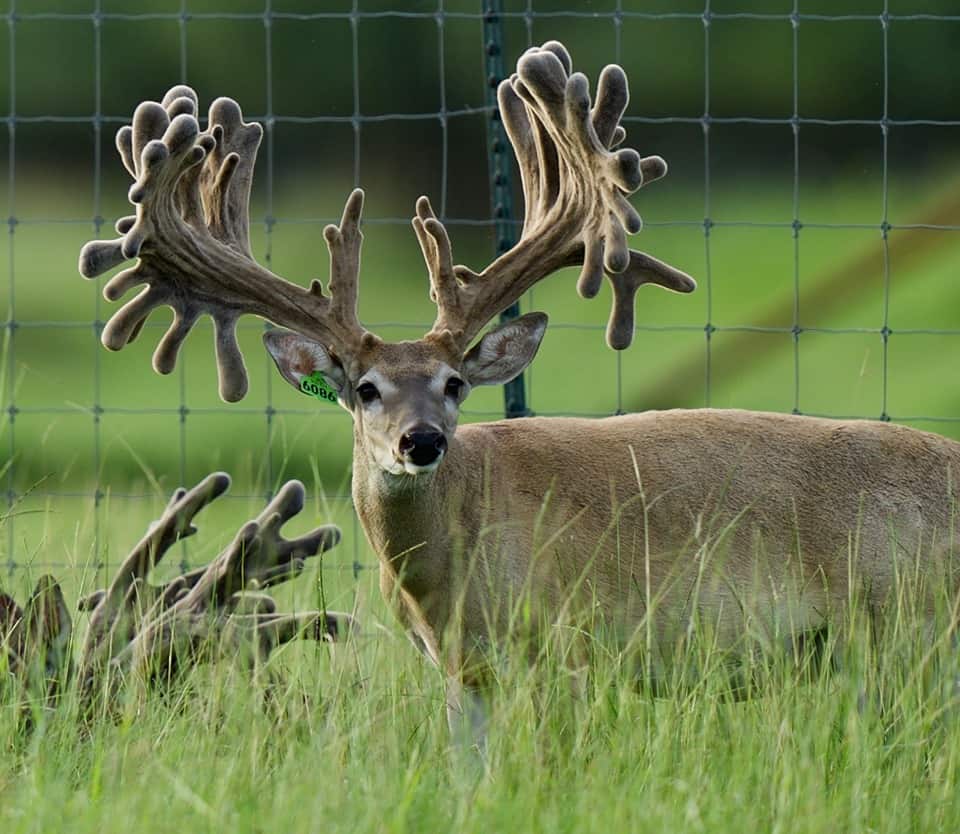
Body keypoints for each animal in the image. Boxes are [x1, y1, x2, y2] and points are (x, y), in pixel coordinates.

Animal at [78, 40, 960, 744]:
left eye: (454, 383)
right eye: (363, 389)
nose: (421, 440)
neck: (445, 572)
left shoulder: (565, 642)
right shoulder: (463, 672)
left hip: (908, 631)